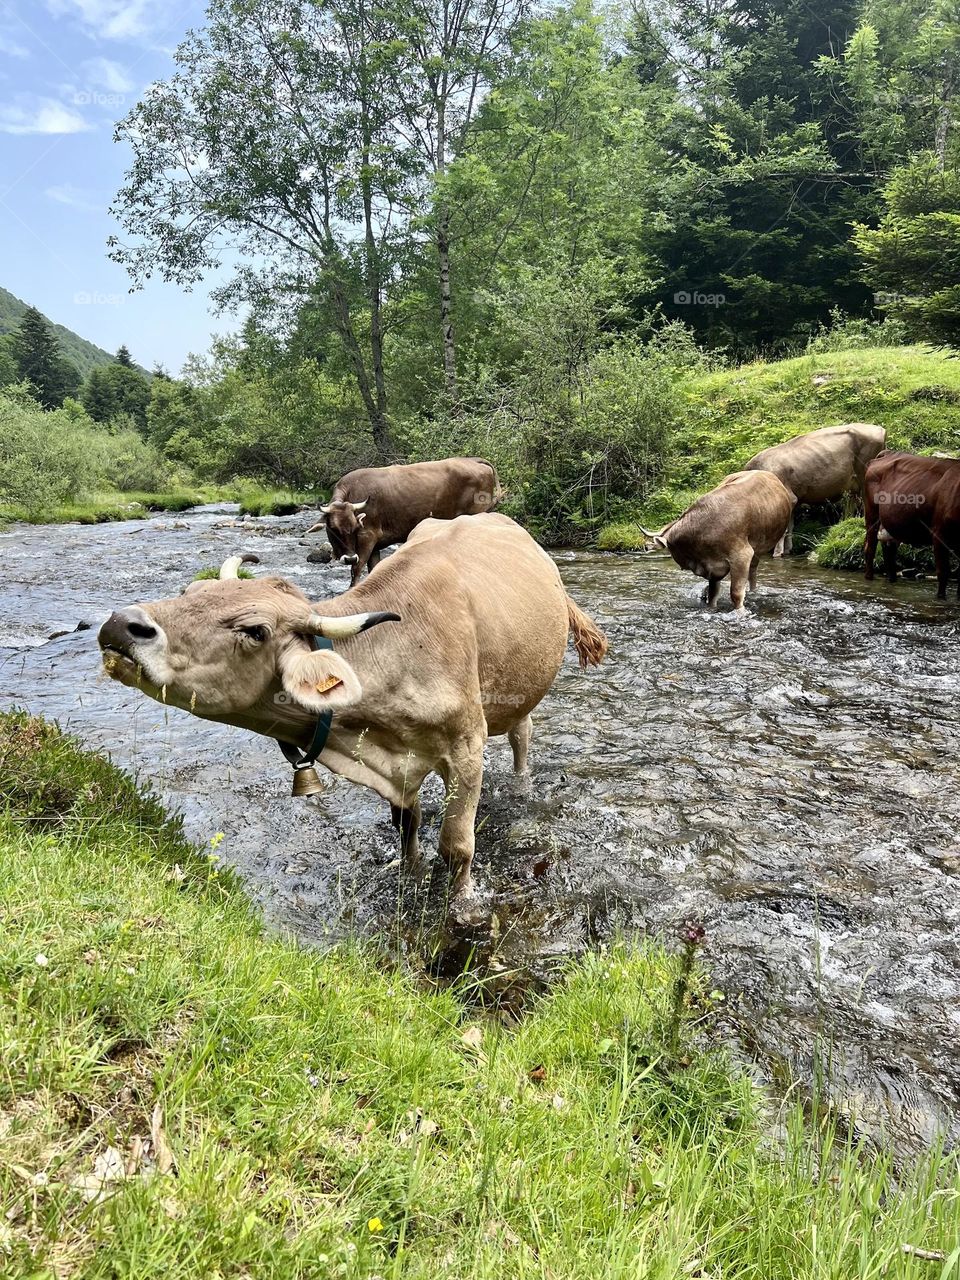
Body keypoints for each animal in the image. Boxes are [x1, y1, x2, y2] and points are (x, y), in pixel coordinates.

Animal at [98, 513, 606, 909]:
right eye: (191, 590)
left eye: (255, 630)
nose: (121, 624)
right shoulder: (398, 762)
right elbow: (406, 826)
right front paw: (408, 870)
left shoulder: (466, 748)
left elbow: (457, 846)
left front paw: (461, 902)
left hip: (522, 692)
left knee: (522, 736)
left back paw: (523, 784)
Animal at [309, 457, 501, 587]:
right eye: (333, 528)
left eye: (355, 526)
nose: (349, 558)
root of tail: (473, 459)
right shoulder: (375, 544)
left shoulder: (367, 536)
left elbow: (356, 571)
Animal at [744, 423, 886, 554]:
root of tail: (881, 429)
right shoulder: (794, 500)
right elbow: (790, 526)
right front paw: (788, 550)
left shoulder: (789, 497)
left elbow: (784, 528)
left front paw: (778, 553)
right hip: (853, 488)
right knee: (850, 509)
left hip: (865, 478)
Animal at [864, 451, 960, 598]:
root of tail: (888, 452)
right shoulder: (939, 533)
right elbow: (943, 572)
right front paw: (940, 598)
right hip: (871, 514)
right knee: (871, 549)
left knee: (889, 555)